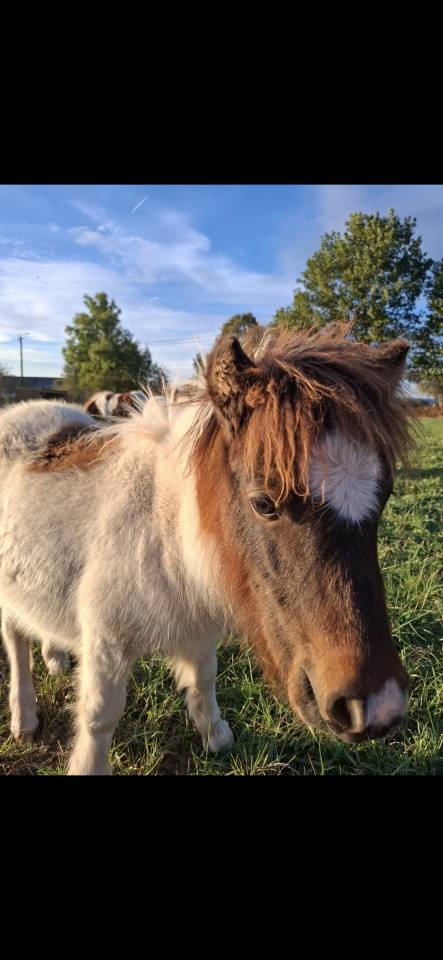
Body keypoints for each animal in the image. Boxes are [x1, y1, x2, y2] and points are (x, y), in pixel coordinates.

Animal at [0, 326, 413, 774]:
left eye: (385, 496)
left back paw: (55, 658)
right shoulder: (107, 639)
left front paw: (216, 738)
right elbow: (99, 716)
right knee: (15, 642)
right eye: (263, 502)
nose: (374, 709)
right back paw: (24, 719)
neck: (163, 531)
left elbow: (204, 678)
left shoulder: (197, 623)